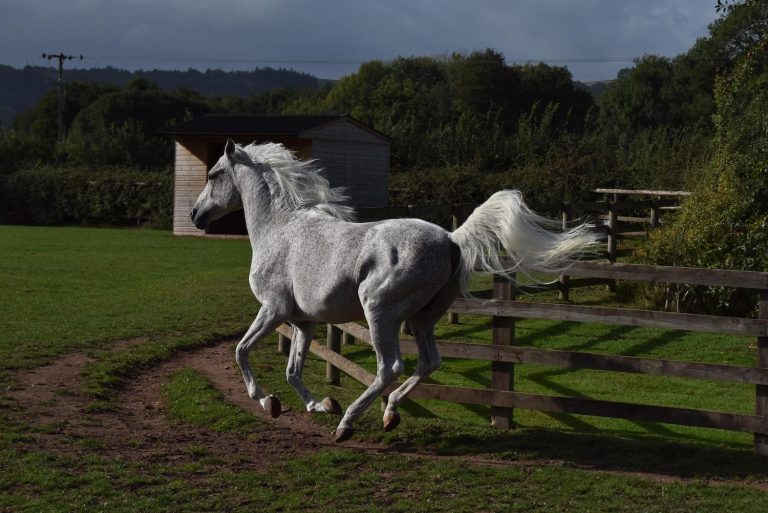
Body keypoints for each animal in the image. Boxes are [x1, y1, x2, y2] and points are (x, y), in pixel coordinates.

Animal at [191, 139, 598, 442]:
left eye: (213, 173)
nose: (195, 215)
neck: (279, 228)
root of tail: (451, 240)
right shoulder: (303, 323)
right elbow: (292, 371)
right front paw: (318, 405)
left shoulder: (273, 310)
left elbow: (242, 351)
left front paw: (266, 401)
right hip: (422, 319)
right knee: (429, 362)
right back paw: (389, 414)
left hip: (379, 310)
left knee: (390, 366)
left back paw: (348, 424)